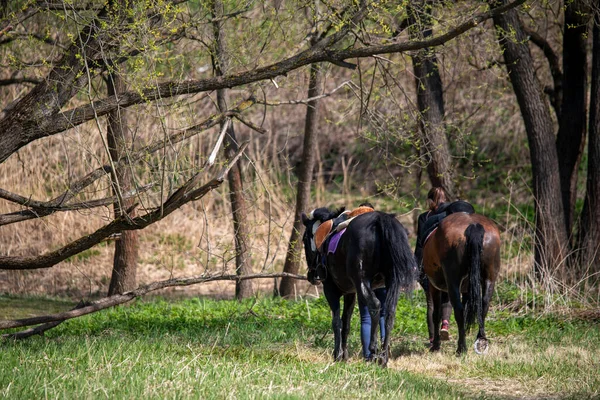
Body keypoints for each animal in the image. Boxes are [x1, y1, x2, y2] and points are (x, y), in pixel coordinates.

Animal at [300, 206, 418, 366]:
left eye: (304, 239)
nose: (311, 276)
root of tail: (379, 219)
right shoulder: (351, 293)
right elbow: (346, 323)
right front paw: (344, 356)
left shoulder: (330, 290)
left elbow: (336, 322)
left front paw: (337, 355)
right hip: (392, 281)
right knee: (389, 312)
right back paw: (384, 356)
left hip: (362, 280)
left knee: (375, 305)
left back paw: (374, 349)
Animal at [422, 212, 502, 354]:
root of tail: (473, 225)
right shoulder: (466, 289)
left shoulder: (434, 286)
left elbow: (436, 314)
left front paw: (436, 345)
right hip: (490, 278)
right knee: (484, 305)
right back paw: (480, 341)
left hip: (452, 281)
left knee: (458, 310)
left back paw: (461, 348)